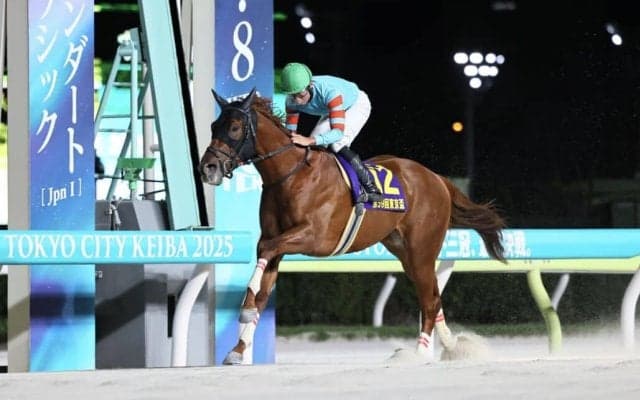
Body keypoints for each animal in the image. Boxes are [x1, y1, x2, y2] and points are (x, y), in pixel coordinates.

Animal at [198, 88, 507, 365]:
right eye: (213, 125)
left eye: (235, 127)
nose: (208, 168)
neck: (290, 175)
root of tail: (437, 178)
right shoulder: (280, 242)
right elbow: (263, 286)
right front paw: (238, 348)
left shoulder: (314, 237)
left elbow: (265, 248)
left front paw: (245, 307)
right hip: (405, 251)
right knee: (433, 295)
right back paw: (453, 346)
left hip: (422, 249)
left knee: (429, 300)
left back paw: (419, 354)